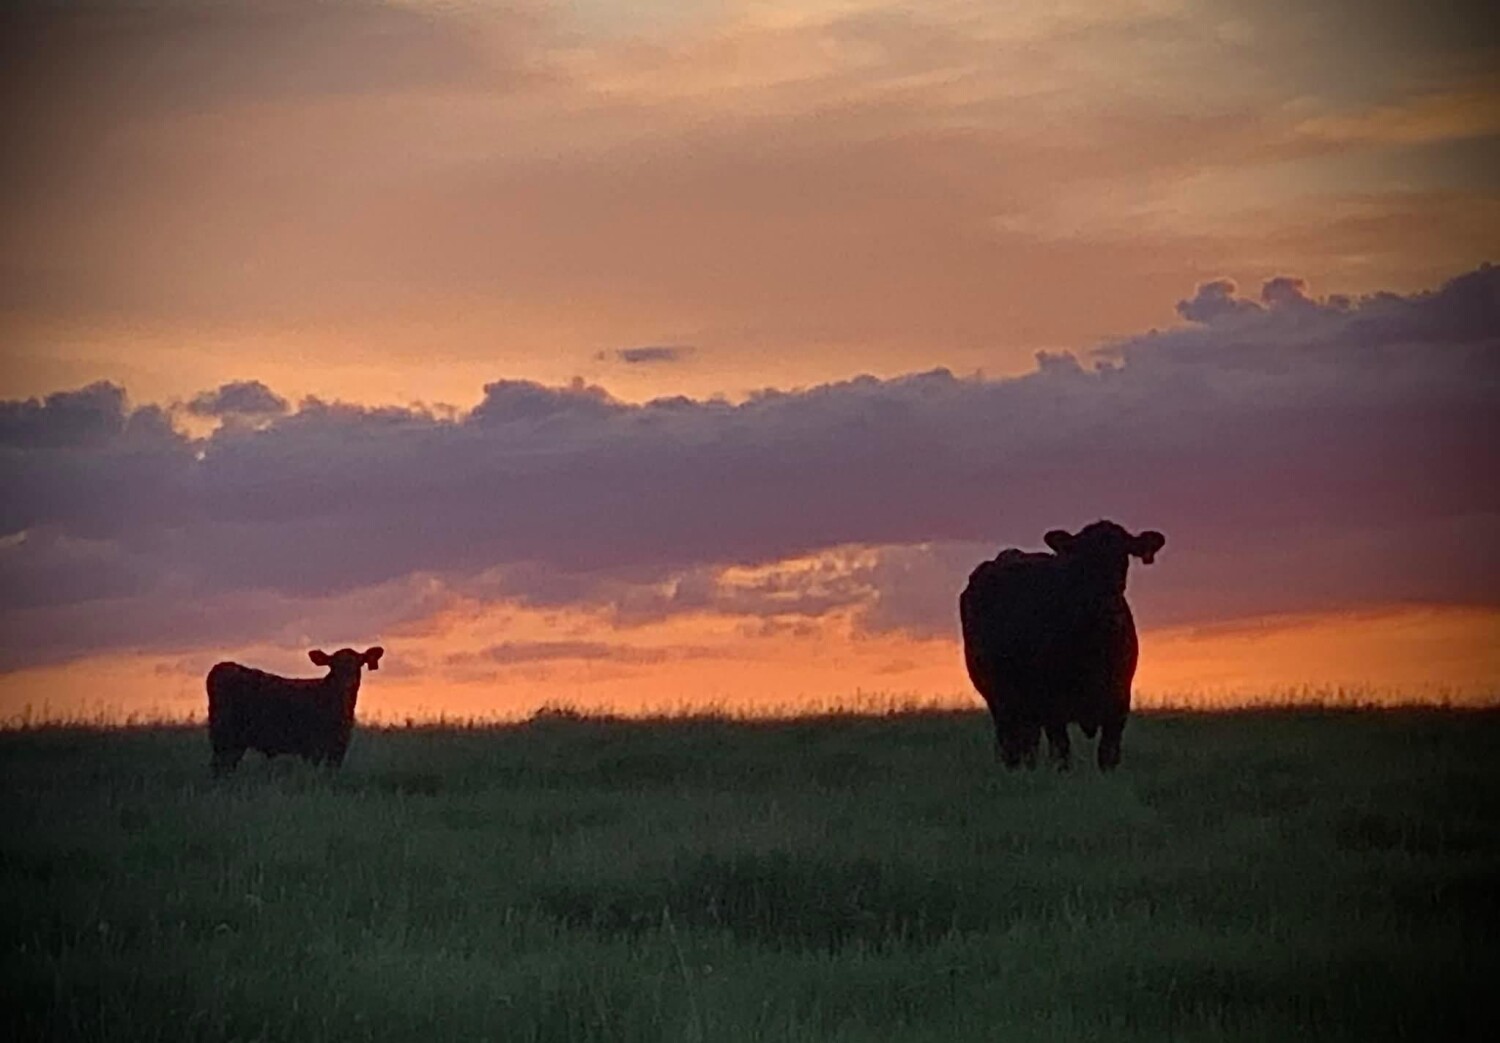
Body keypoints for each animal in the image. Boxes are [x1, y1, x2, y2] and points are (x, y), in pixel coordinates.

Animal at [206, 646, 384, 775]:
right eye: (334, 666)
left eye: (358, 664)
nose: (347, 684)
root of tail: (223, 666)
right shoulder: (315, 747)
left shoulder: (338, 747)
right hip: (224, 736)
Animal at [959, 521, 1164, 771]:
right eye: (1082, 561)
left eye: (1122, 556)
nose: (1108, 599)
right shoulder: (1052, 706)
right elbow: (1061, 752)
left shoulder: (1119, 701)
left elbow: (1108, 755)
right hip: (1001, 699)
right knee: (1011, 743)